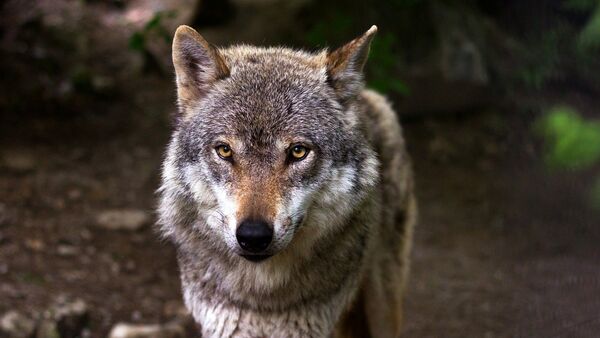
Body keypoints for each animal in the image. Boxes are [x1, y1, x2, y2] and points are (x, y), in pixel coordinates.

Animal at [157, 24, 414, 338]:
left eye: (298, 151)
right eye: (225, 150)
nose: (253, 236)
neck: (264, 300)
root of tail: (366, 95)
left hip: (383, 305)